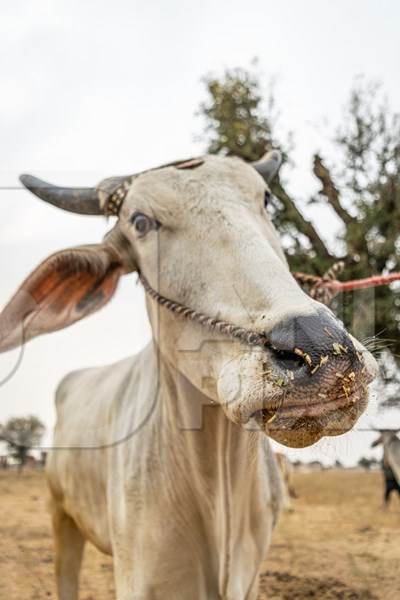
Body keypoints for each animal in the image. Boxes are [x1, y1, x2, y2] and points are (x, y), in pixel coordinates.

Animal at [0, 154, 376, 600]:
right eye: (140, 222)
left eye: (265, 198)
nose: (322, 349)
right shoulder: (142, 579)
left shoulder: (250, 578)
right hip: (61, 517)